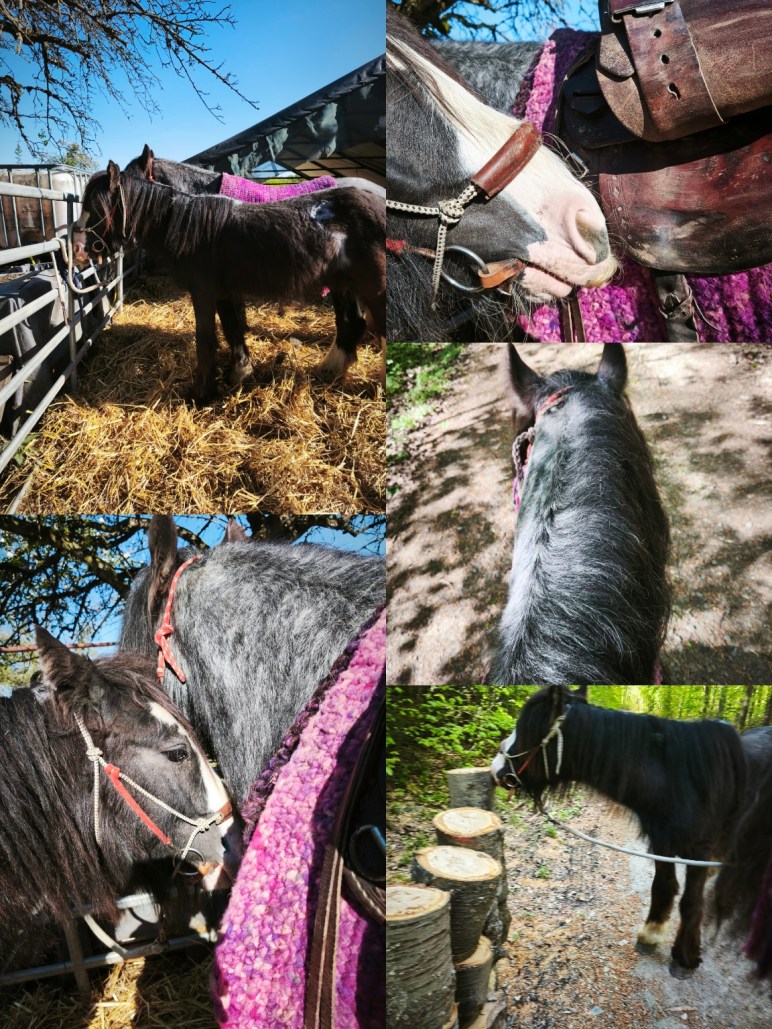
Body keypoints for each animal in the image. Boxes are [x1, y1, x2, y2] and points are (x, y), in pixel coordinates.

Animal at [73, 163, 385, 404]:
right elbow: (231, 328)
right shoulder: (224, 293)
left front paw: (201, 393)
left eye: (96, 208)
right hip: (344, 284)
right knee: (352, 324)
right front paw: (239, 374)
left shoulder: (203, 294)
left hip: (373, 289)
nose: (76, 250)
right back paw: (329, 371)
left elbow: (205, 339)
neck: (194, 228)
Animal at [490, 685, 748, 977]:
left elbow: (691, 902)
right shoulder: (663, 844)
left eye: (526, 731)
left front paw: (685, 957)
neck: (682, 781)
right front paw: (651, 934)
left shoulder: (699, 852)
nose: (495, 769)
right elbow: (663, 885)